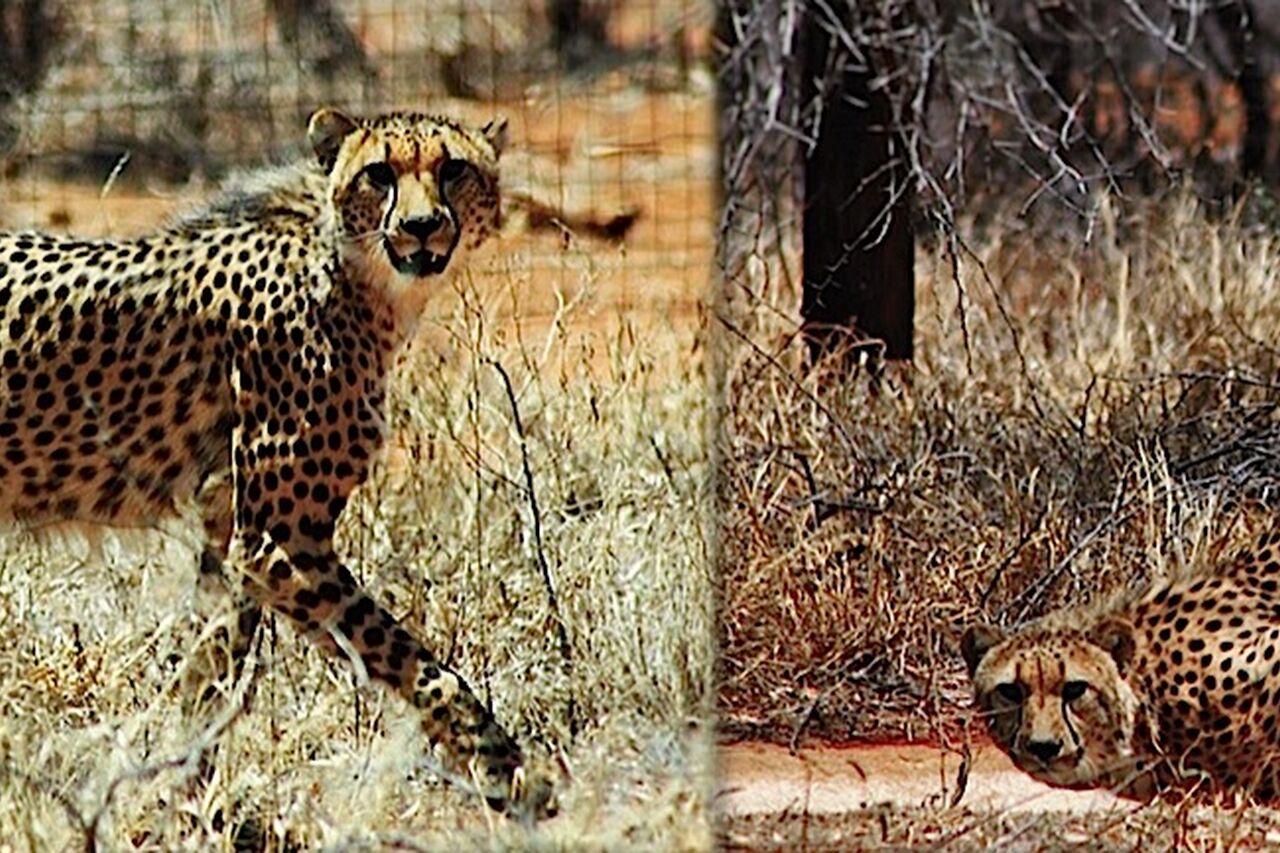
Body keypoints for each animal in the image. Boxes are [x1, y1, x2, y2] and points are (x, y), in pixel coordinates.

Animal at [0, 106, 552, 817]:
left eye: (453, 168)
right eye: (379, 174)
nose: (421, 225)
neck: (352, 270)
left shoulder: (230, 529)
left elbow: (214, 671)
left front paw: (186, 799)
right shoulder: (279, 541)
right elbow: (416, 661)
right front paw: (508, 769)